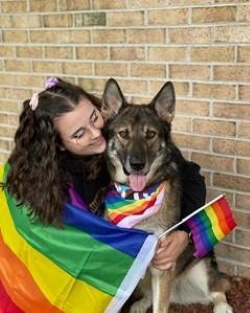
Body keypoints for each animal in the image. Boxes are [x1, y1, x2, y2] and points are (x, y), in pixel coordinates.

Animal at [101, 78, 232, 312]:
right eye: (123, 134)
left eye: (151, 134)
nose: (137, 164)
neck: (137, 196)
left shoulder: (163, 266)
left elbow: (160, 307)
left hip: (199, 270)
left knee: (218, 287)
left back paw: (222, 306)